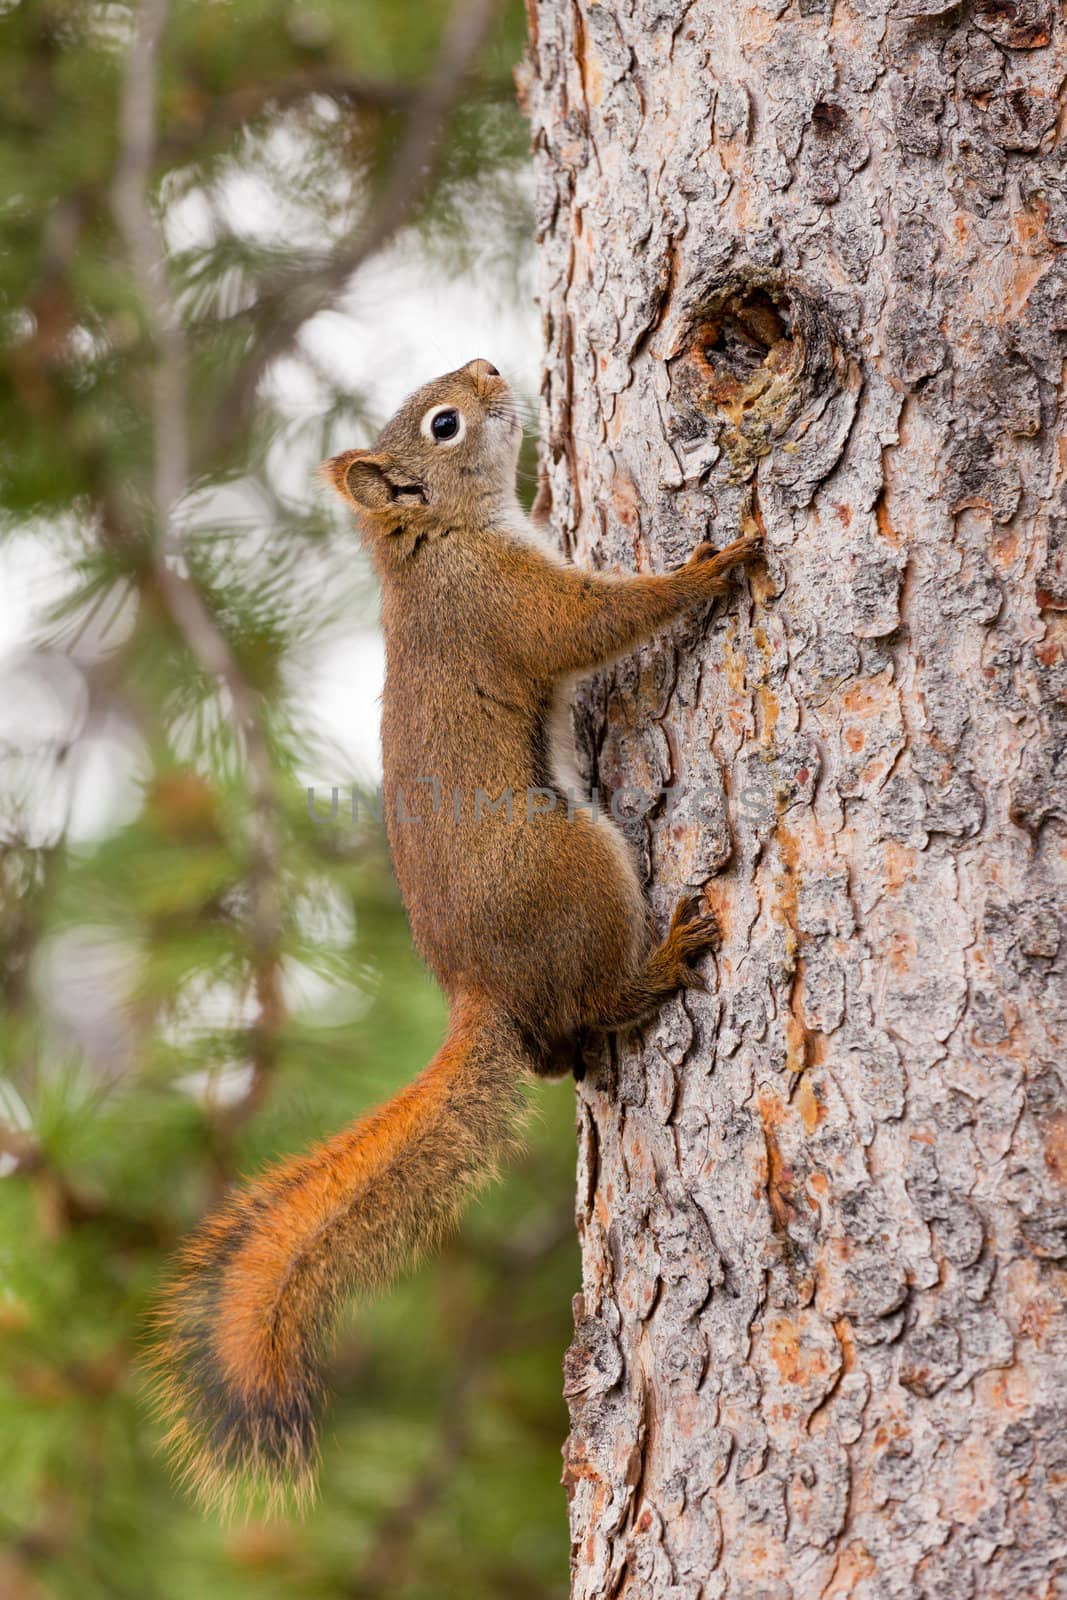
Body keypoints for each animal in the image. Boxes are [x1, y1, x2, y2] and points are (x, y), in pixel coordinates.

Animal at [154, 356, 764, 1504]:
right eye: (443, 425)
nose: (486, 368)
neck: (437, 545)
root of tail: (480, 991)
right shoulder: (509, 604)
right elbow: (593, 624)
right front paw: (715, 564)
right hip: (573, 863)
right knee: (596, 1002)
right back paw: (663, 958)